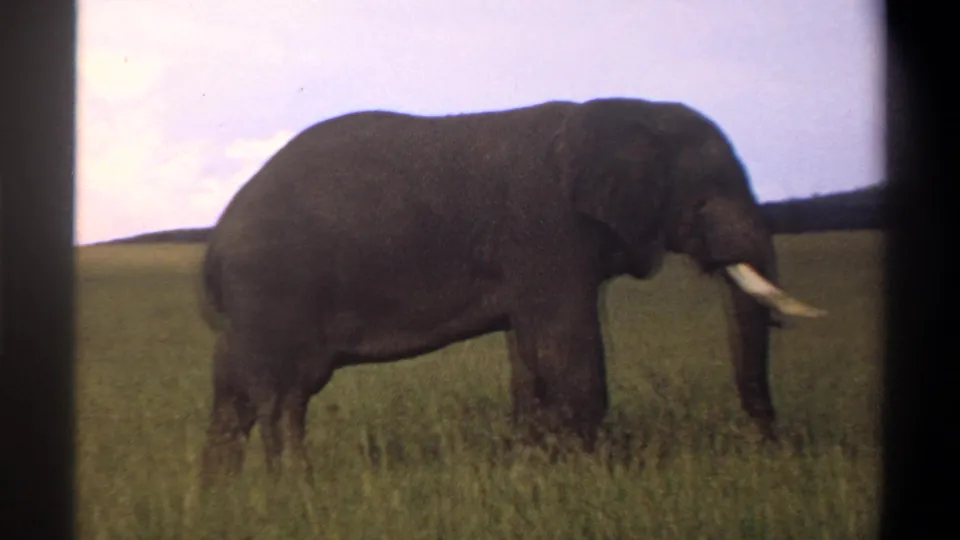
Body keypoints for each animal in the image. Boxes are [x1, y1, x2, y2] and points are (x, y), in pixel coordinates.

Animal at [197, 97, 826, 483]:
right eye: (706, 195)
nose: (773, 446)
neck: (619, 112)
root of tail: (215, 242)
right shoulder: (547, 229)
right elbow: (568, 351)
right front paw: (596, 476)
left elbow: (531, 357)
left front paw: (535, 467)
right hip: (275, 291)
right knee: (284, 397)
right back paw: (294, 489)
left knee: (235, 396)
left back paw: (224, 497)